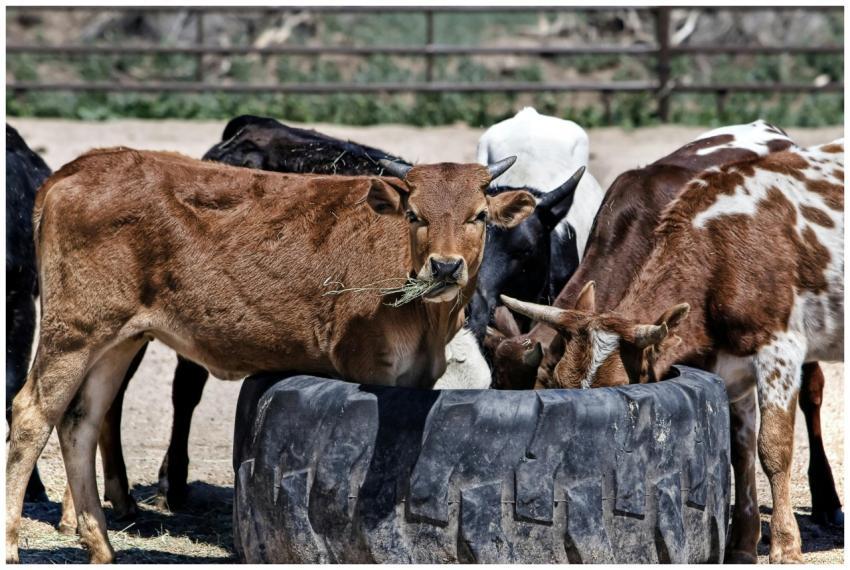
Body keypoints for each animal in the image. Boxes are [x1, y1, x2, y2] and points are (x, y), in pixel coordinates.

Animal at [5, 148, 535, 563]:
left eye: (479, 216)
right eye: (414, 215)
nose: (444, 267)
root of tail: (79, 168)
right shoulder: (370, 366)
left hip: (118, 339)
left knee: (82, 421)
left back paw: (102, 546)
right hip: (74, 330)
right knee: (32, 414)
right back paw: (13, 545)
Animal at [500, 139, 844, 563]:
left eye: (620, 389)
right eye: (557, 384)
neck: (721, 251)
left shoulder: (779, 350)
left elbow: (773, 448)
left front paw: (784, 545)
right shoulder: (731, 368)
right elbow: (741, 451)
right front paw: (742, 544)